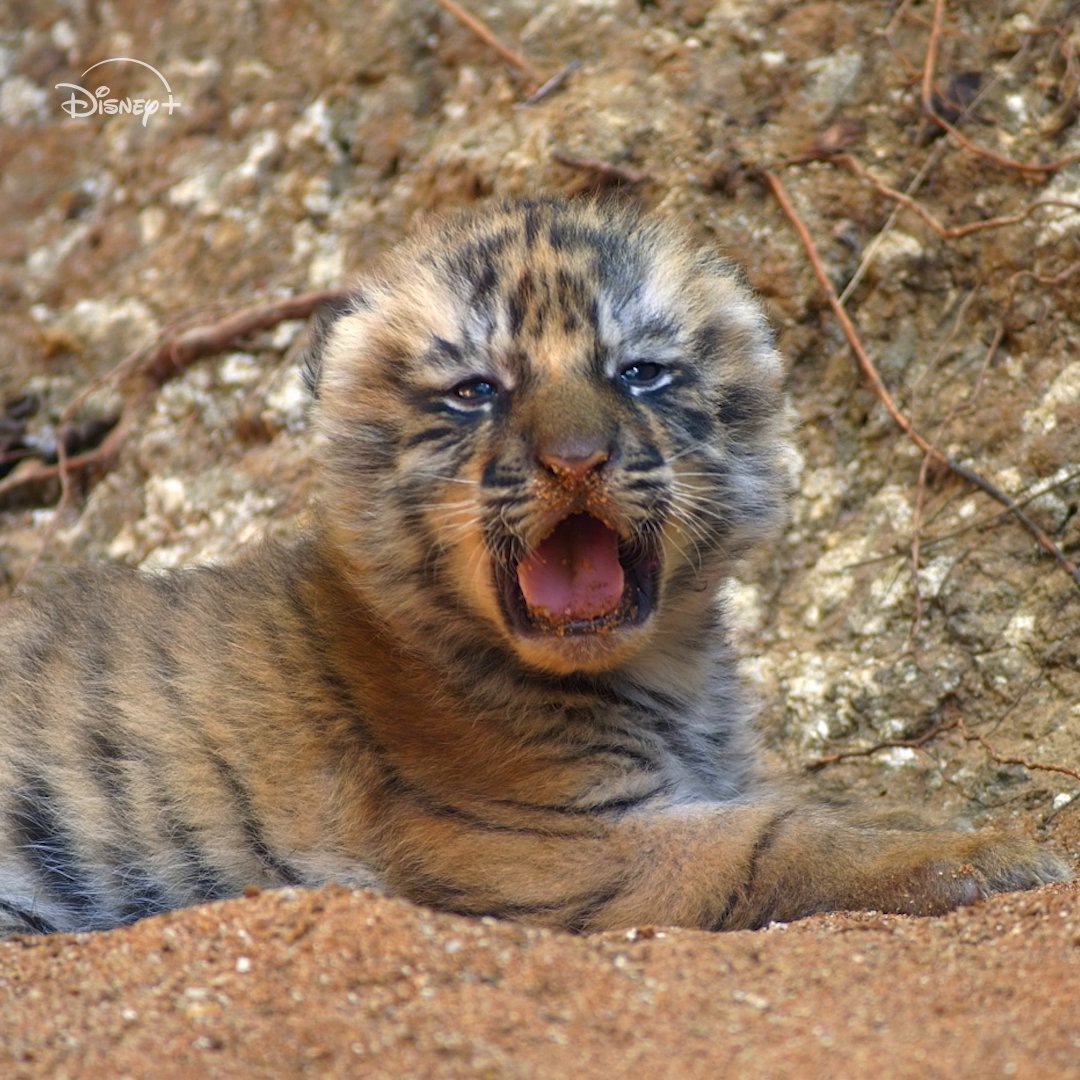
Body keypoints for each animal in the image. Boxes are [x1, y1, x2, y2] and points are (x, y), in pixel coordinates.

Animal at [0, 196, 1068, 937]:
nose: (576, 459)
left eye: (638, 373)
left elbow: (818, 798)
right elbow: (779, 839)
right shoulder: (553, 845)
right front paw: (995, 852)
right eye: (476, 391)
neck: (671, 668)